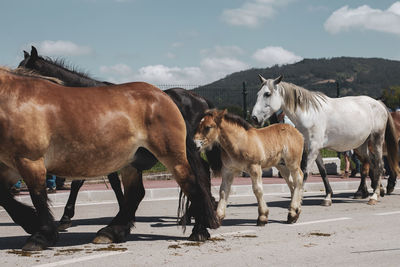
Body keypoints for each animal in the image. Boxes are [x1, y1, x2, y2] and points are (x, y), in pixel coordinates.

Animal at [0, 66, 219, 251]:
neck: (13, 100)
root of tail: (165, 96)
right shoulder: (10, 166)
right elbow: (5, 198)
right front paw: (31, 223)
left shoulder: (30, 160)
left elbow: (37, 195)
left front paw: (41, 235)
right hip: (133, 162)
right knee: (136, 193)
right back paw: (112, 231)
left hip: (172, 155)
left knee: (192, 183)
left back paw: (199, 230)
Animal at [252, 74, 398, 206]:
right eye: (258, 93)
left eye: (267, 94)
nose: (254, 118)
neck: (309, 114)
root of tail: (378, 103)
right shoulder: (313, 149)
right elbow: (322, 172)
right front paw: (328, 197)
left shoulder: (313, 148)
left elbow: (305, 173)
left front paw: (298, 199)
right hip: (361, 146)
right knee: (371, 163)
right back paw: (378, 190)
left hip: (376, 140)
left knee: (379, 165)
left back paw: (374, 196)